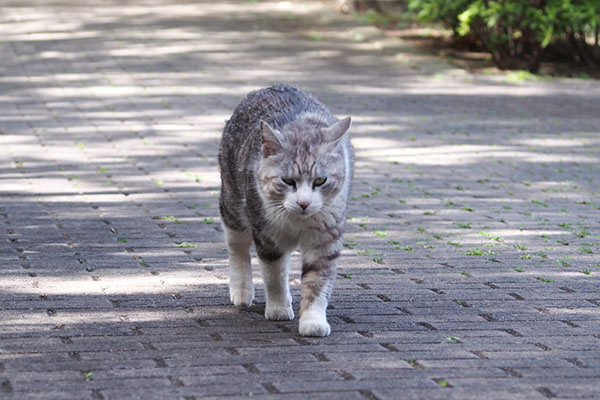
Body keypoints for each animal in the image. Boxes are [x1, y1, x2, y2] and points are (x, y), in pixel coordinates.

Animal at [219, 84, 352, 338]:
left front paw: (312, 321)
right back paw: (241, 291)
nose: (304, 203)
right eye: (288, 180)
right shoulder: (267, 234)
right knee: (237, 247)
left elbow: (317, 280)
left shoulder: (326, 237)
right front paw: (278, 308)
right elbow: (274, 277)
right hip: (233, 203)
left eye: (320, 180)